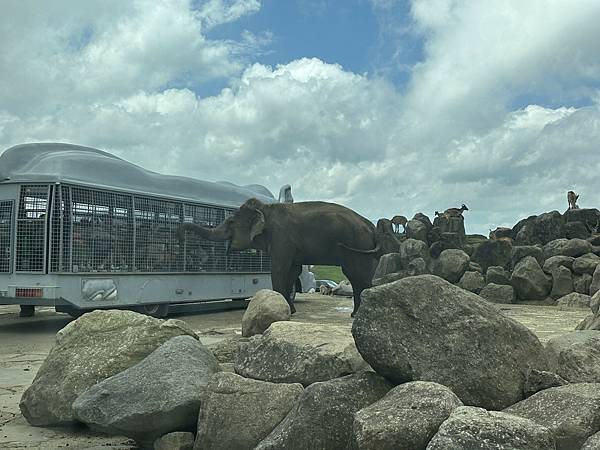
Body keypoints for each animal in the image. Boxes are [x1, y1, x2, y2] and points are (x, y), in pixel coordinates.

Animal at [178, 197, 386, 316]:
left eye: (230, 222)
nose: (180, 230)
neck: (266, 209)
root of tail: (372, 228)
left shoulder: (281, 238)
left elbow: (279, 269)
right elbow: (292, 271)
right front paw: (290, 311)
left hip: (357, 245)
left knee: (359, 276)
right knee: (355, 277)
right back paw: (354, 315)